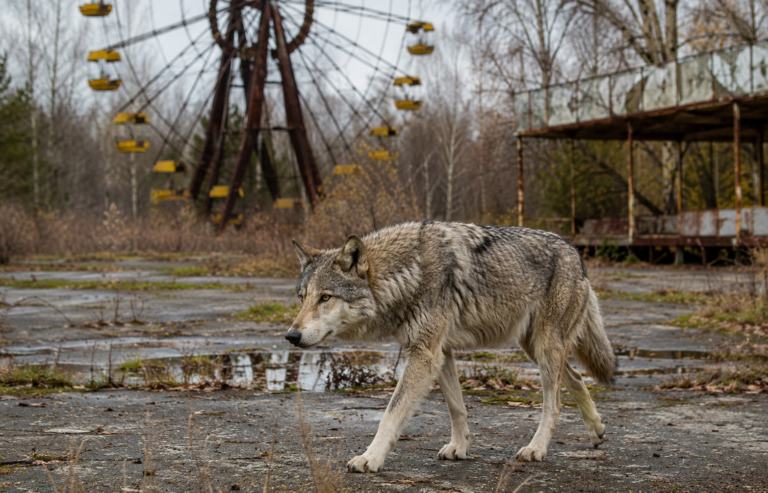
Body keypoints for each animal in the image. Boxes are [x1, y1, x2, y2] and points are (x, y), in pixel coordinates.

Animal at [286, 221, 615, 472]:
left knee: (554, 402)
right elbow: (457, 407)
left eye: (325, 298)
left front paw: (370, 458)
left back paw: (536, 449)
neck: (408, 273)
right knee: (576, 377)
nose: (291, 336)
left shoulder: (425, 354)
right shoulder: (440, 353)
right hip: (534, 347)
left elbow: (391, 414)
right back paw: (596, 430)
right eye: (302, 298)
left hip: (545, 347)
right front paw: (459, 447)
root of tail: (575, 253)